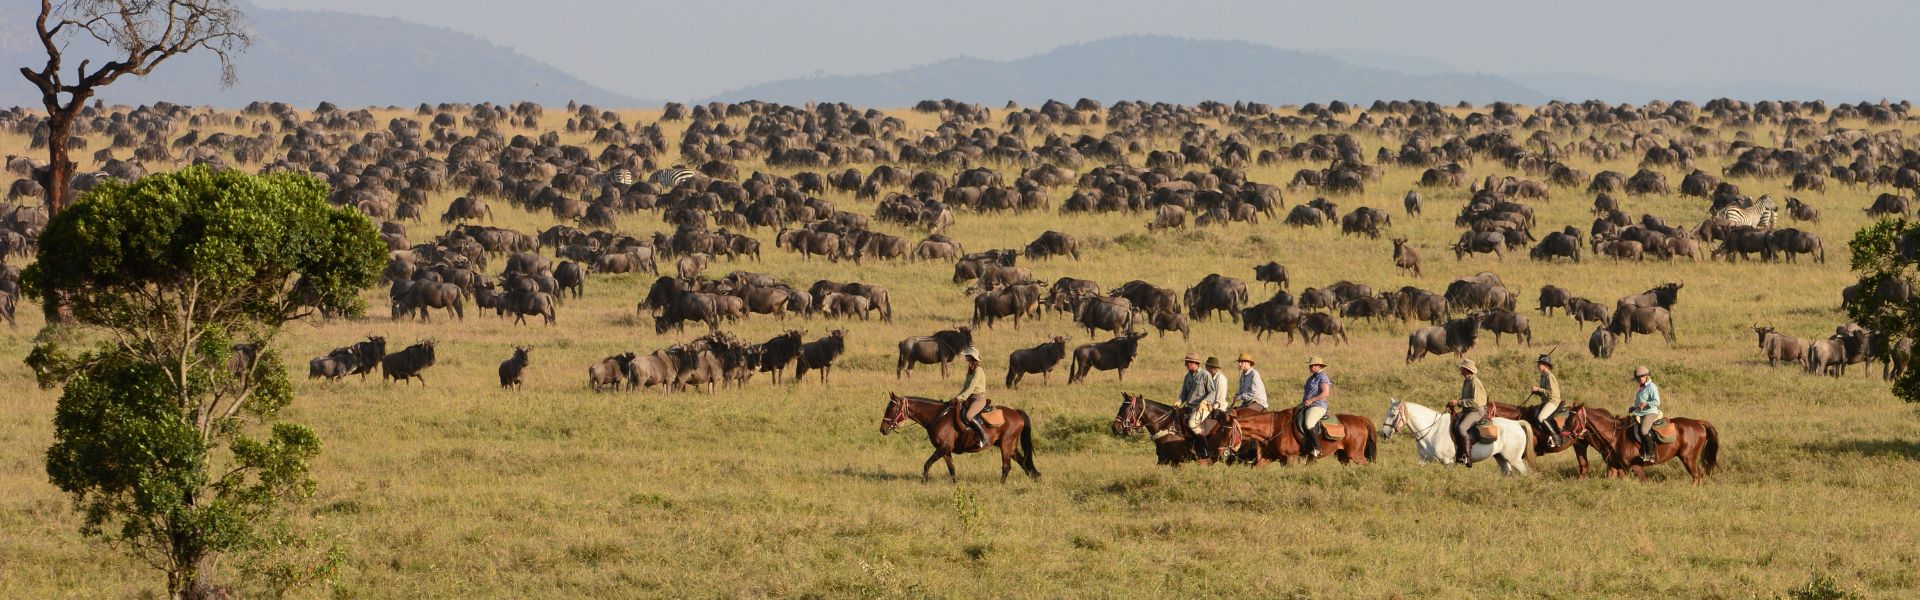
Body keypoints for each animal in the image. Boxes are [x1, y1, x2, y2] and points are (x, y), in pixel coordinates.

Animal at [881, 393, 1039, 483]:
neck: (938, 416)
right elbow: (951, 468)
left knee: (1007, 466)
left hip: (1006, 444)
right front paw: (956, 485)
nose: (882, 429)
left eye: (891, 409)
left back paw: (1001, 484)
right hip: (1009, 446)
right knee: (1023, 462)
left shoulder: (943, 448)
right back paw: (1034, 477)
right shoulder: (945, 450)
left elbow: (927, 464)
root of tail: (1016, 413)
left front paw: (923, 482)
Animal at [1232, 406, 1376, 466]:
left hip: (1356, 455)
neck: (1274, 426)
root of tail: (1360, 419)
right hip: (1343, 456)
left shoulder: (1290, 458)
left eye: (1228, 431)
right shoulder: (1269, 457)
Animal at [1377, 399, 1534, 475]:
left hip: (1514, 459)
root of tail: (1517, 423)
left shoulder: (1448, 462)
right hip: (1501, 458)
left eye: (1393, 414)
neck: (1432, 429)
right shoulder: (1423, 460)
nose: (1384, 433)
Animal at [1566, 406, 1718, 484]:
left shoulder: (1636, 467)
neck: (1615, 436)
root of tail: (1697, 422)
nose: (1564, 433)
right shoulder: (1615, 467)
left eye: (1572, 419)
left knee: (1697, 476)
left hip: (1688, 458)